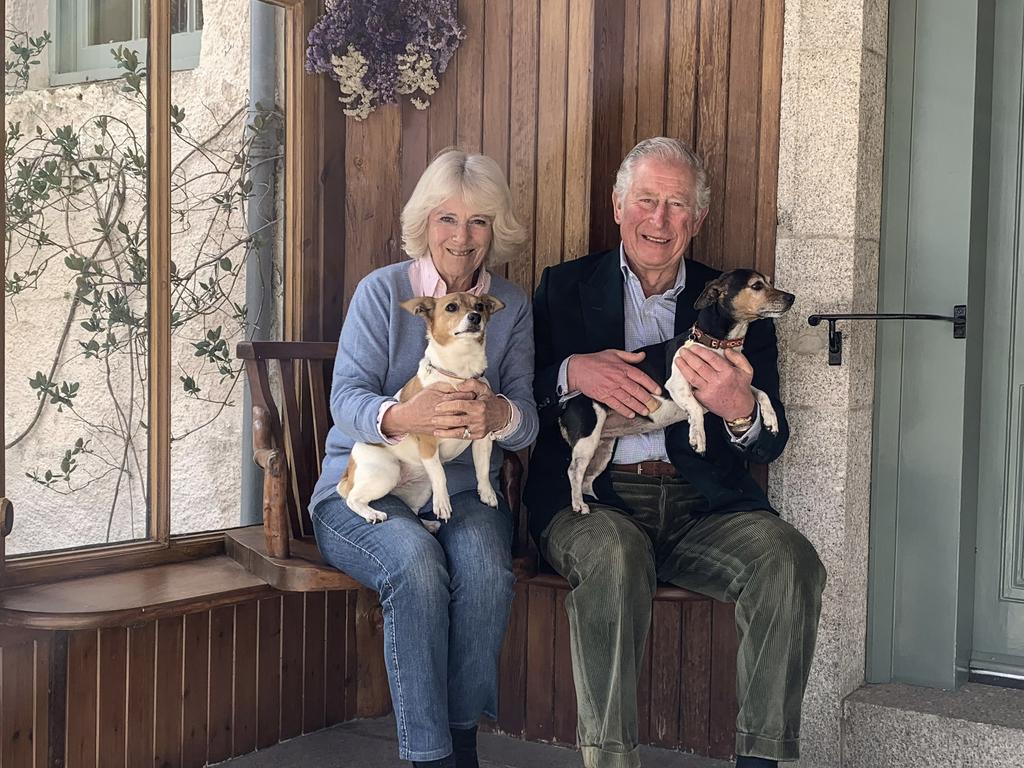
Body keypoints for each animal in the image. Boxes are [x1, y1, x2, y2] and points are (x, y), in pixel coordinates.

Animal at [337, 292, 505, 528]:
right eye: (451, 307)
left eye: (480, 306)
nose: (475, 317)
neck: (459, 375)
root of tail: (349, 471)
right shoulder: (428, 443)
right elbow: (441, 475)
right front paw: (442, 504)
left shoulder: (482, 439)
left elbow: (482, 469)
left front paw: (487, 493)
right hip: (386, 471)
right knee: (352, 499)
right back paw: (372, 513)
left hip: (421, 487)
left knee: (414, 511)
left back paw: (428, 525)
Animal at [561, 270, 790, 518]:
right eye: (756, 286)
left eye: (769, 282)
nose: (791, 297)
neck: (718, 345)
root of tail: (566, 404)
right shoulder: (676, 384)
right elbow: (696, 408)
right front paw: (697, 437)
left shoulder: (737, 383)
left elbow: (762, 393)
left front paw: (771, 420)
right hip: (587, 440)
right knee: (574, 471)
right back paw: (578, 505)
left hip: (602, 450)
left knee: (586, 479)